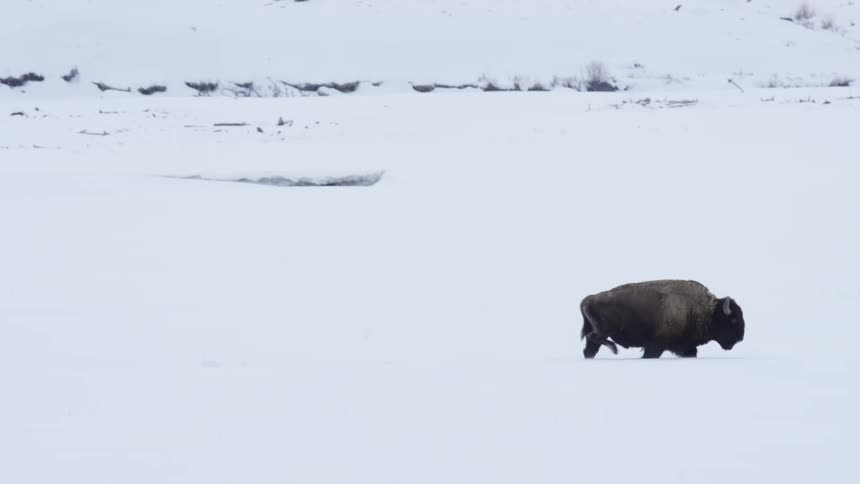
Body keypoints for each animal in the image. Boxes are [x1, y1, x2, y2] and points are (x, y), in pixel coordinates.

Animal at [580, 280, 745, 358]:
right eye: (734, 320)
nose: (740, 338)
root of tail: (589, 299)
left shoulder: (685, 346)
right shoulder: (655, 346)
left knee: (590, 348)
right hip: (606, 329)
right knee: (594, 338)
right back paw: (614, 349)